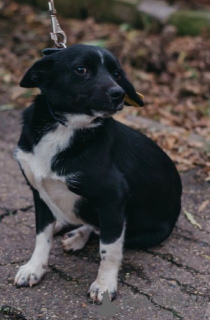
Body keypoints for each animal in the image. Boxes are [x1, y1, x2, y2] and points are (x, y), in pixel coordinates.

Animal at [13, 44, 181, 302]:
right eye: (81, 70)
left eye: (117, 74)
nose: (118, 93)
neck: (65, 128)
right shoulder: (39, 193)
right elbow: (42, 235)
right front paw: (34, 269)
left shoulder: (113, 199)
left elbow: (109, 249)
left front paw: (104, 284)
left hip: (151, 232)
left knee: (98, 230)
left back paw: (77, 234)